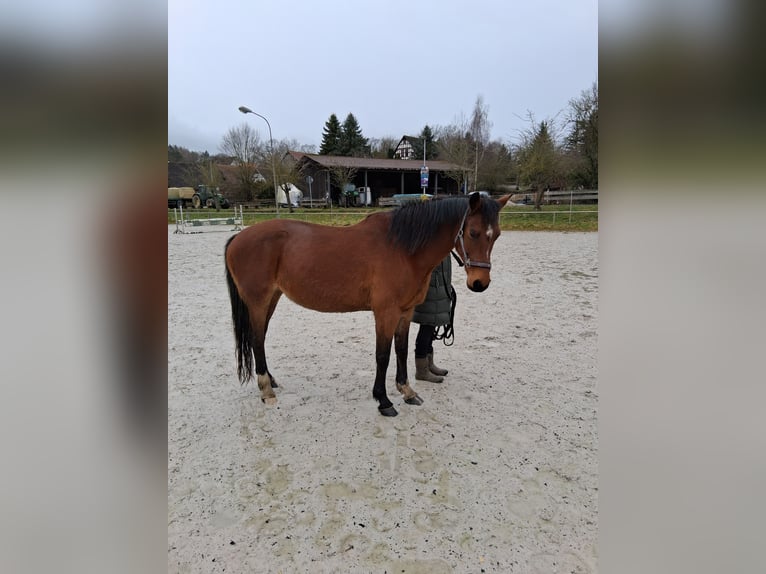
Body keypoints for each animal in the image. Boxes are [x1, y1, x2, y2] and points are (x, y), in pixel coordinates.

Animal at [224, 191, 511, 416]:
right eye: (473, 232)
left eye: (496, 235)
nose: (479, 283)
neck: (403, 249)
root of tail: (238, 238)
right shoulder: (385, 313)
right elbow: (382, 355)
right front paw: (383, 400)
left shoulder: (406, 312)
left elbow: (402, 350)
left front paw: (407, 391)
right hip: (258, 302)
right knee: (256, 340)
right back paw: (266, 390)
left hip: (271, 299)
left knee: (259, 339)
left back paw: (271, 382)